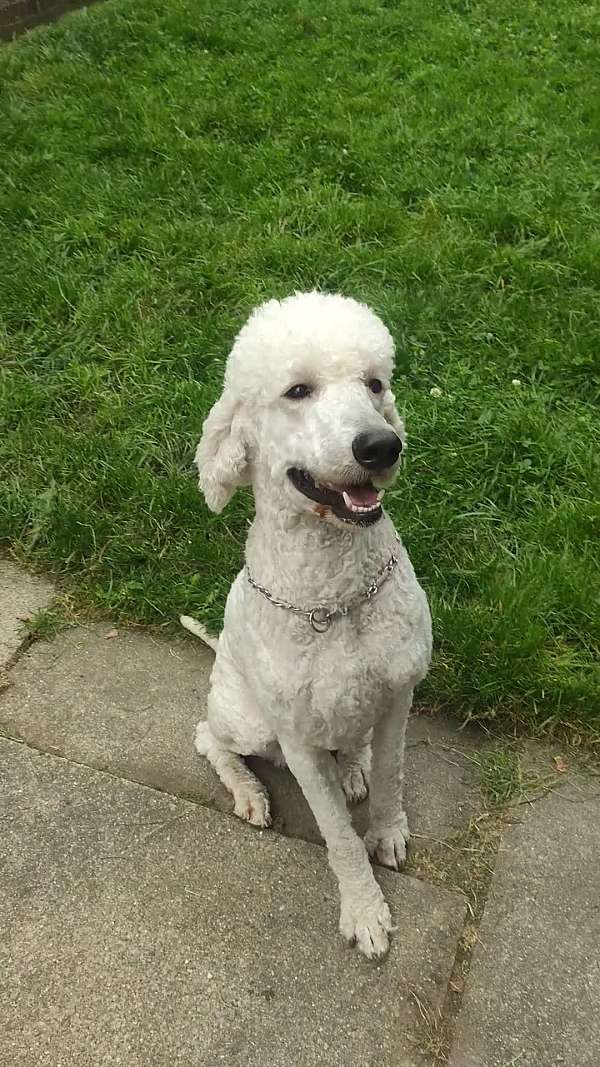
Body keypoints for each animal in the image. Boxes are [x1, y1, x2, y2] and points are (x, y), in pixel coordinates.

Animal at [182, 290, 429, 960]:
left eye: (375, 384)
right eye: (298, 391)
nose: (381, 446)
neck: (333, 595)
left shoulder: (398, 696)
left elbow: (393, 775)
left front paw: (387, 831)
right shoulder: (295, 739)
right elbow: (338, 836)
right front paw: (365, 910)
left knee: (353, 743)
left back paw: (353, 767)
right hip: (246, 720)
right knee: (208, 736)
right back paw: (248, 790)